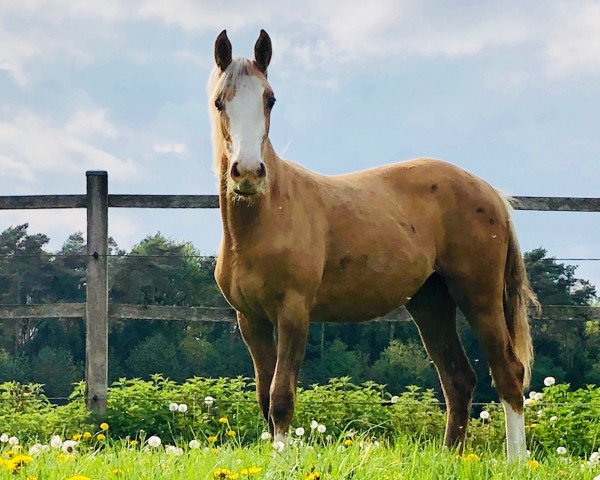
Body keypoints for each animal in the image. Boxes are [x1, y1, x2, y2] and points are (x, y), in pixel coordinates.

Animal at [206, 30, 540, 462]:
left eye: (270, 98)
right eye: (220, 101)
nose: (248, 173)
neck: (266, 218)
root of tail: (491, 193)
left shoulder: (294, 312)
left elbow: (281, 397)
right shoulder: (251, 319)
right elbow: (264, 397)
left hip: (479, 297)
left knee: (507, 372)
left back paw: (516, 459)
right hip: (430, 303)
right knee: (458, 378)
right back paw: (450, 456)